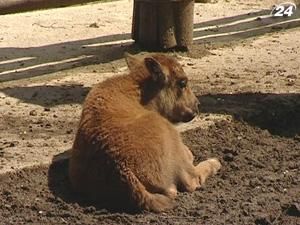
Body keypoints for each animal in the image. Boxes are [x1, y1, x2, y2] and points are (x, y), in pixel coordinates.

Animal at [69, 53, 221, 212]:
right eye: (182, 83)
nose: (197, 105)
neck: (139, 91)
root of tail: (122, 167)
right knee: (191, 180)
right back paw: (215, 162)